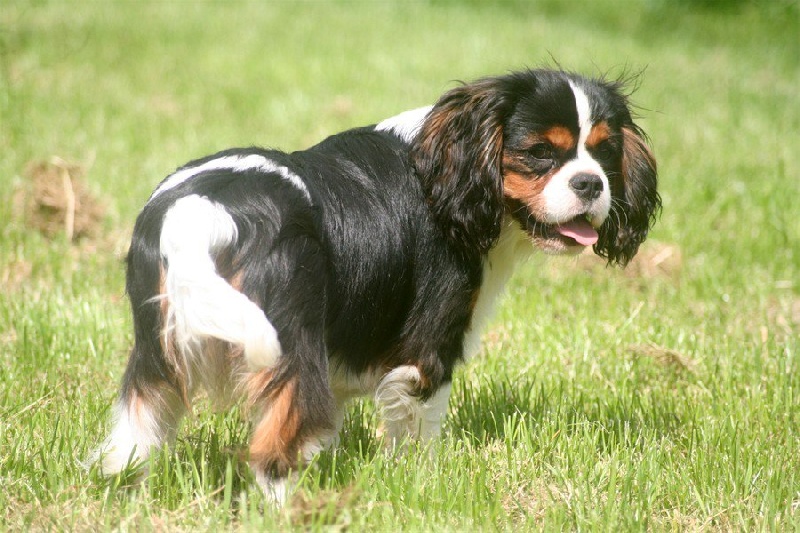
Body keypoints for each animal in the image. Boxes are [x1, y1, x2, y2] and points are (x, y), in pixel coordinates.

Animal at [89, 67, 664, 502]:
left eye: (605, 153)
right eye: (542, 152)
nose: (591, 183)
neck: (447, 171)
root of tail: (203, 213)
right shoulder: (431, 346)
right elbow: (420, 426)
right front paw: (421, 481)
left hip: (157, 352)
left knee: (133, 437)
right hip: (288, 343)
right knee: (275, 451)